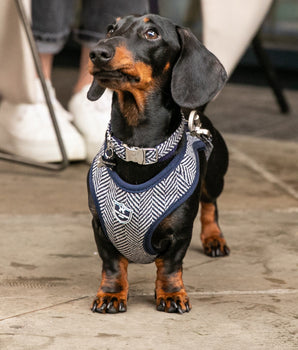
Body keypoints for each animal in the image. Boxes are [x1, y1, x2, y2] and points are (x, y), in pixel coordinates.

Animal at [87, 13, 229, 314]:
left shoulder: (180, 233)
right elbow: (113, 265)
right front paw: (111, 294)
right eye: (111, 28)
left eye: (152, 33)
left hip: (214, 180)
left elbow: (170, 267)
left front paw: (172, 294)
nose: (97, 53)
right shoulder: (101, 227)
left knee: (211, 205)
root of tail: (195, 113)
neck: (138, 149)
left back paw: (214, 238)